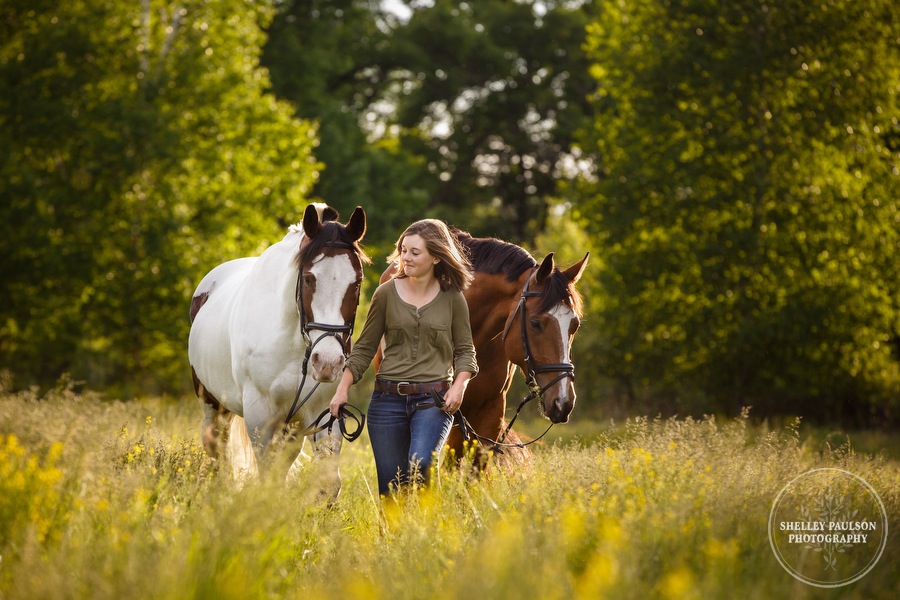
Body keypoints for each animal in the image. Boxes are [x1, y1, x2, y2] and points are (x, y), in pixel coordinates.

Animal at [188, 204, 368, 490]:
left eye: (357, 282)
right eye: (308, 279)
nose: (327, 362)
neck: (296, 348)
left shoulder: (323, 416)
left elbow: (327, 484)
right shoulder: (260, 418)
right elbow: (266, 481)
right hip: (211, 402)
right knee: (217, 449)